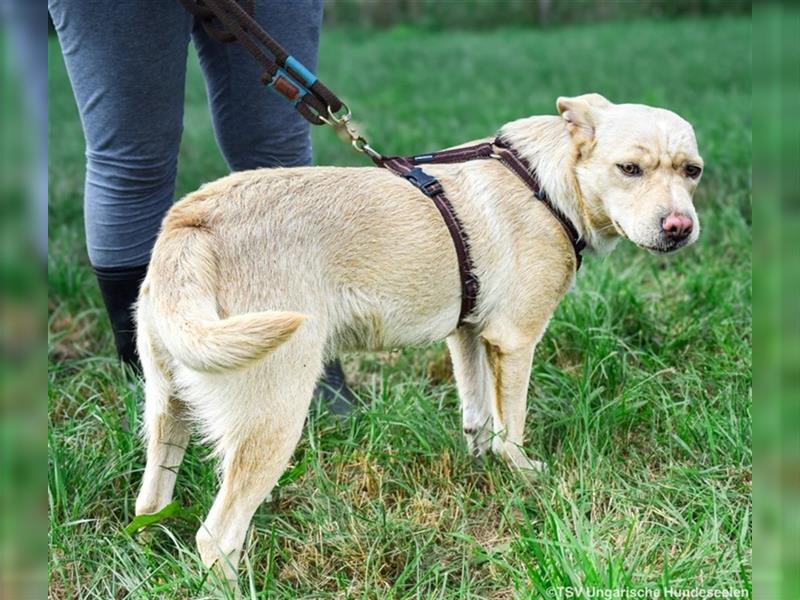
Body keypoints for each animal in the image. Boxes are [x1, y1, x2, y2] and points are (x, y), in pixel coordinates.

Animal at [134, 95, 704, 580]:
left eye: (691, 171)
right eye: (629, 169)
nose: (679, 228)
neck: (544, 182)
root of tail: (192, 221)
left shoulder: (468, 334)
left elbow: (478, 418)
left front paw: (481, 469)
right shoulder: (515, 341)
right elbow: (512, 428)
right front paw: (523, 475)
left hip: (167, 406)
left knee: (150, 504)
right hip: (274, 416)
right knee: (216, 537)